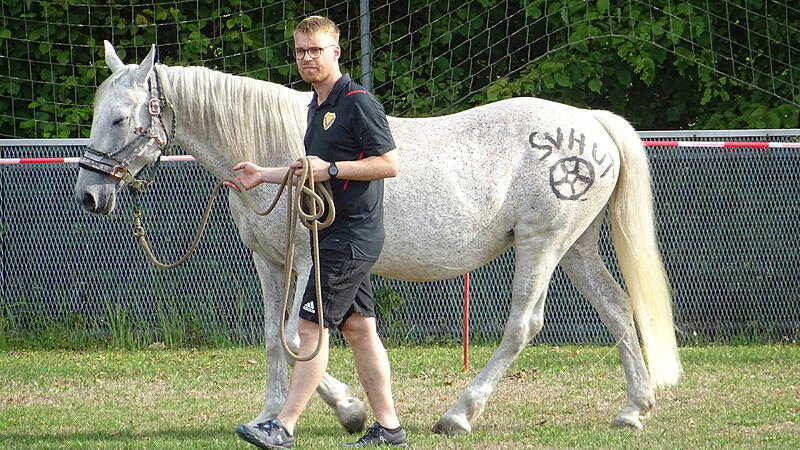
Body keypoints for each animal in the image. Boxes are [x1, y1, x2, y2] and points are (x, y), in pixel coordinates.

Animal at [74, 41, 681, 435]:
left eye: (121, 118)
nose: (89, 196)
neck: (275, 147)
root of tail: (591, 123)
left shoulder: (307, 266)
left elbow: (298, 338)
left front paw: (346, 410)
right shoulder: (272, 264)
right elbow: (273, 338)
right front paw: (272, 416)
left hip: (543, 245)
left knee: (523, 325)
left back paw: (459, 414)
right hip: (576, 248)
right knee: (618, 308)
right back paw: (634, 409)